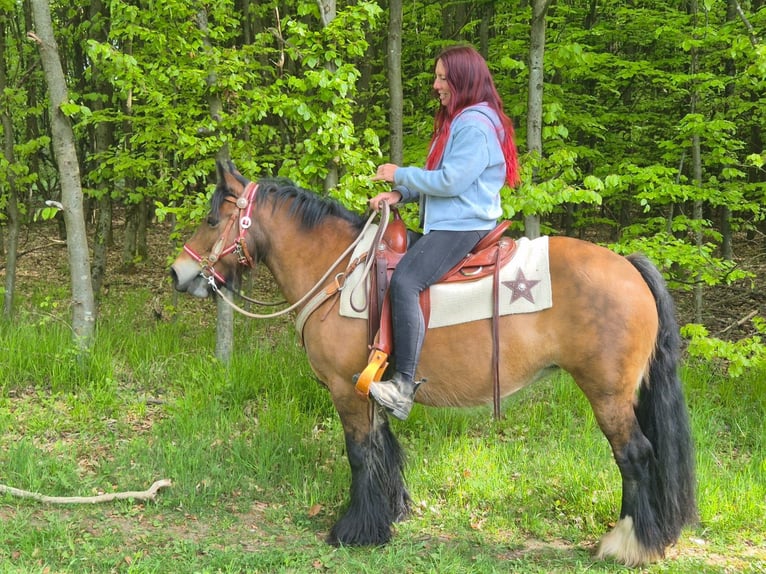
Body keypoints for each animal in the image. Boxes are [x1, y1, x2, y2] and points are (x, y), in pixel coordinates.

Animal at [170, 161, 697, 567]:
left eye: (212, 218)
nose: (179, 273)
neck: (340, 272)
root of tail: (629, 267)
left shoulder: (344, 388)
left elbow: (360, 453)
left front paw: (354, 530)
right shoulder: (371, 388)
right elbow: (383, 448)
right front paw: (390, 515)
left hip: (608, 394)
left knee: (634, 455)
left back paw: (627, 544)